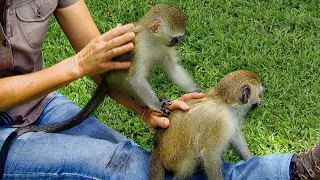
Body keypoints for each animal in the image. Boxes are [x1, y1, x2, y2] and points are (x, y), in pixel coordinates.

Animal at [0, 4, 199, 177]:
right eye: (175, 38)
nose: (176, 43)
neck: (153, 40)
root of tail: (105, 80)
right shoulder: (137, 47)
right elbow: (135, 78)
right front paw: (157, 105)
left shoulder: (163, 49)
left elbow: (171, 67)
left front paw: (196, 91)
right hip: (117, 80)